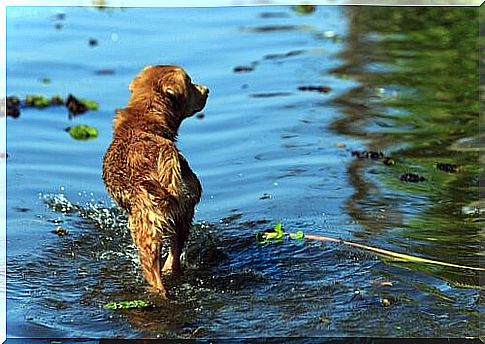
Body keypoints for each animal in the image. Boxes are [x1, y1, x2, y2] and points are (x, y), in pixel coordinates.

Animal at [102, 66, 208, 296]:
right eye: (190, 82)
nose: (207, 89)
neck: (145, 119)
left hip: (146, 235)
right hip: (181, 215)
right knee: (174, 256)